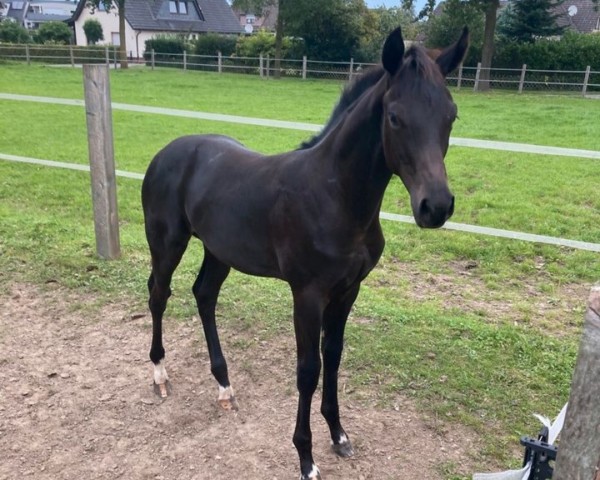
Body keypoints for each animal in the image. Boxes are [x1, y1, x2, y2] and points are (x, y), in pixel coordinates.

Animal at [142, 25, 468, 480]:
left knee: (204, 295)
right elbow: (308, 370)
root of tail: (165, 153)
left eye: (450, 115)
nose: (435, 207)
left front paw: (339, 435)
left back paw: (224, 385)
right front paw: (306, 457)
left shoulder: (348, 290)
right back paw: (159, 374)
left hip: (219, 251)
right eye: (395, 116)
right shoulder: (307, 293)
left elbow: (333, 356)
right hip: (167, 242)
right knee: (159, 294)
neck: (334, 196)